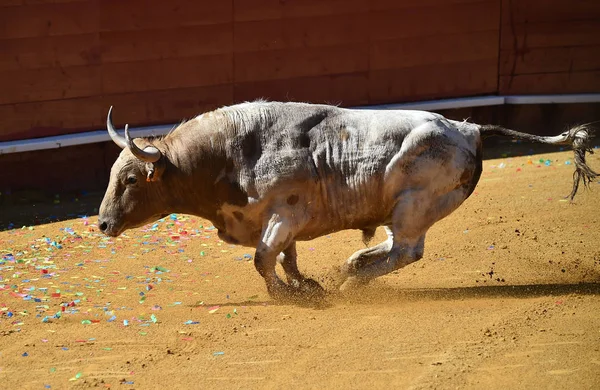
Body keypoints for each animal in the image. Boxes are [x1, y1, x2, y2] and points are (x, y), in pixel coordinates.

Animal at [97, 100, 596, 302]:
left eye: (131, 179)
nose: (101, 224)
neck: (232, 151)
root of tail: (467, 128)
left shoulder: (284, 213)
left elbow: (264, 260)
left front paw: (292, 297)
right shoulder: (281, 223)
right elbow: (287, 258)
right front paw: (307, 286)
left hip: (415, 204)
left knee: (406, 251)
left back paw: (352, 281)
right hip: (409, 210)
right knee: (396, 248)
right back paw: (353, 267)